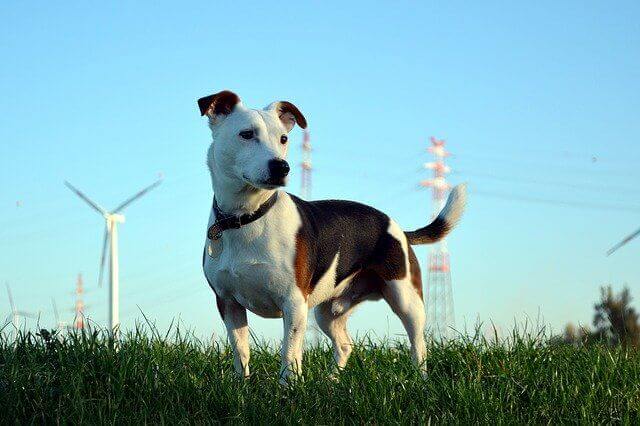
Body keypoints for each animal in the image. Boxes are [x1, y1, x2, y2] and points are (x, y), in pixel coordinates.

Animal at [199, 90, 464, 382]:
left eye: (283, 138)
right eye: (246, 134)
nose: (281, 167)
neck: (247, 217)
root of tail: (398, 228)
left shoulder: (294, 303)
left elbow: (289, 352)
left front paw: (288, 387)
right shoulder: (227, 302)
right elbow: (240, 350)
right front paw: (242, 385)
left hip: (406, 299)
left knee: (419, 344)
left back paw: (420, 380)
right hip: (327, 311)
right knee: (345, 345)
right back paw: (333, 380)